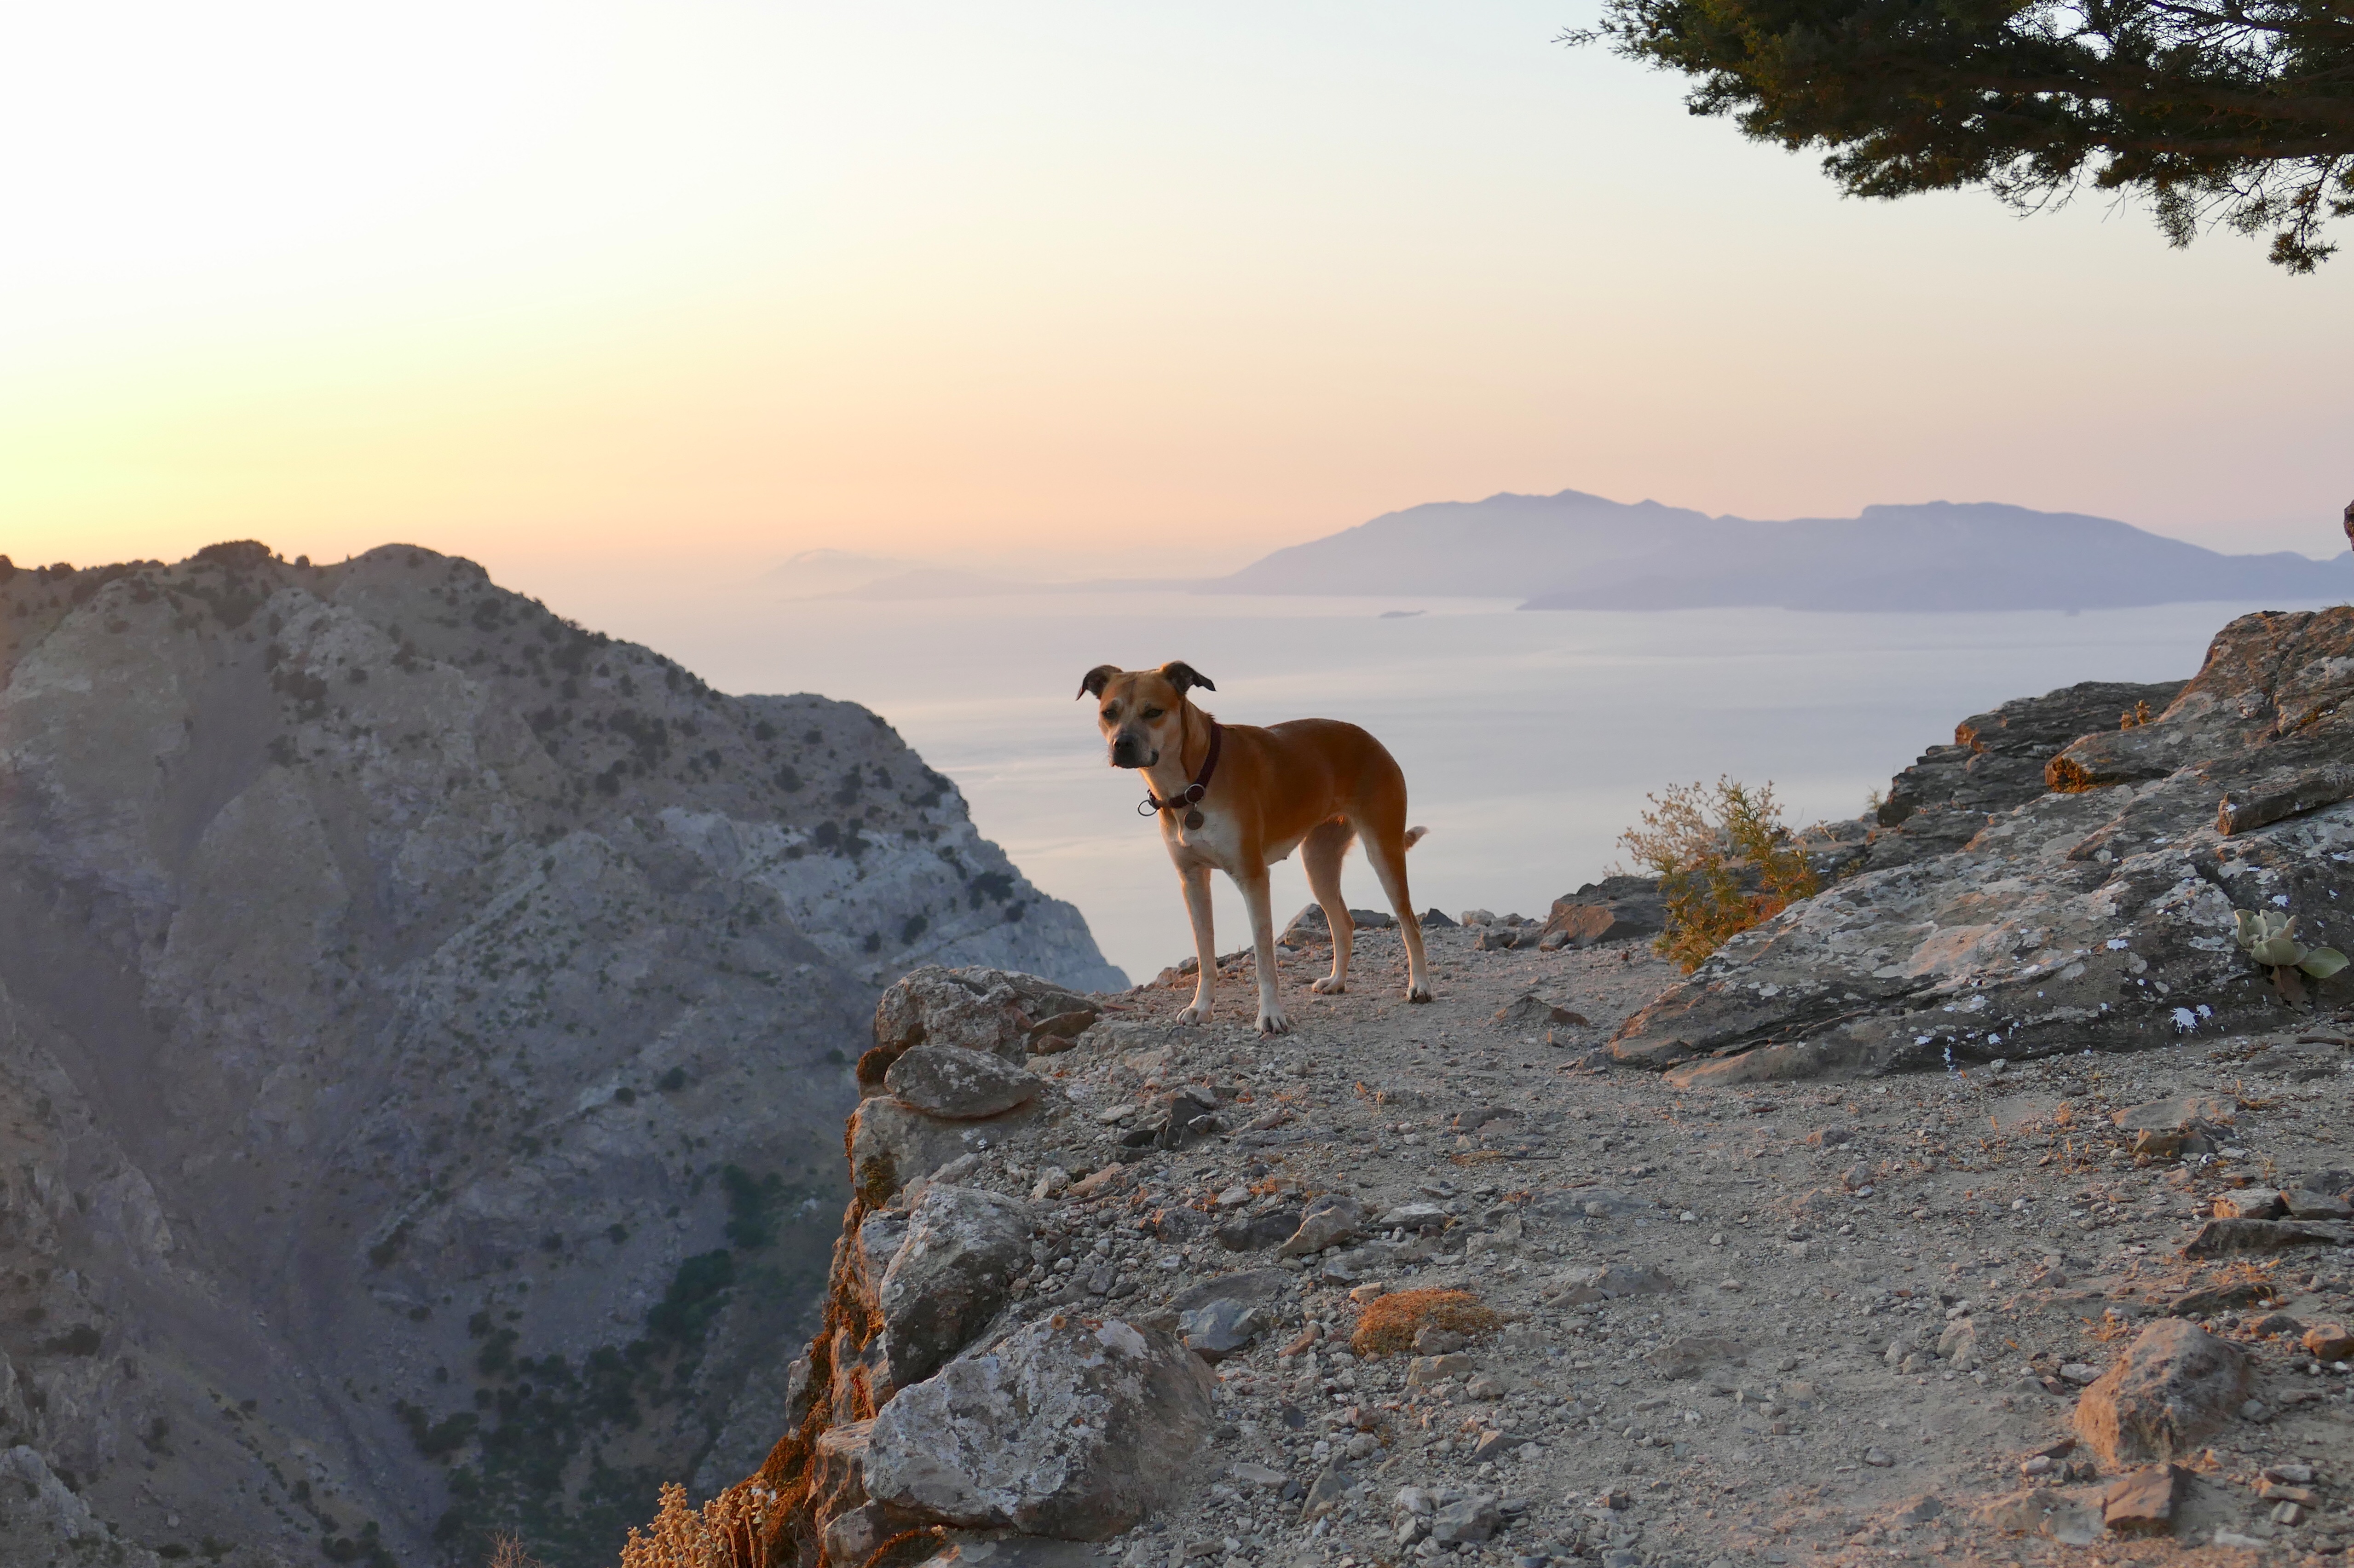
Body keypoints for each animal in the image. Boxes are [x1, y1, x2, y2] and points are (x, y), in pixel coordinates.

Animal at [1078, 664, 1422, 1036]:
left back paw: (1420, 987)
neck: (1195, 781)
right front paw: (1201, 1008)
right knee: (1343, 922)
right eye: (1109, 713)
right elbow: (1205, 954)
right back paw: (1337, 981)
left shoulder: (1253, 878)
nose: (1122, 744)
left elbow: (1264, 960)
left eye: (1153, 712)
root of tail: (1371, 740)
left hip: (1383, 850)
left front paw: (1270, 1016)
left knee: (1409, 923)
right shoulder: (1192, 880)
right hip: (1319, 861)